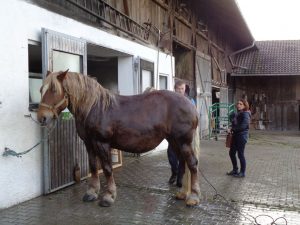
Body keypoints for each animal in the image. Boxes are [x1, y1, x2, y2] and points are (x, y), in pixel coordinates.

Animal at [37, 71, 200, 207]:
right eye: (41, 90)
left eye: (54, 90)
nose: (42, 117)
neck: (95, 107)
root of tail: (190, 105)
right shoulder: (89, 144)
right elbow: (93, 167)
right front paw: (91, 193)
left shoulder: (102, 143)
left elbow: (107, 169)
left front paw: (108, 196)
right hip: (174, 141)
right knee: (184, 163)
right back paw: (183, 193)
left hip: (183, 142)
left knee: (192, 164)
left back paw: (193, 197)